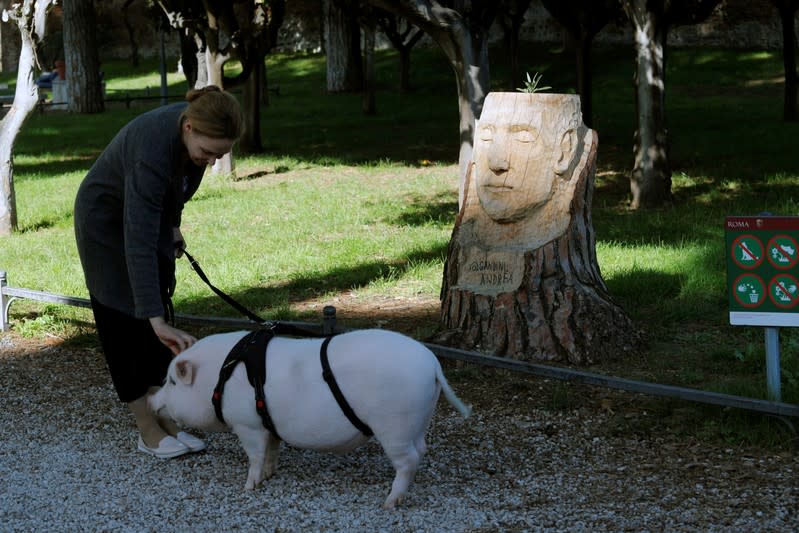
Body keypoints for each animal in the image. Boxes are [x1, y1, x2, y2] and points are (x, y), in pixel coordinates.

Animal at [148, 328, 468, 508]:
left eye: (172, 382)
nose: (151, 400)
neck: (219, 378)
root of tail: (432, 364)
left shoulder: (246, 424)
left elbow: (255, 455)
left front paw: (249, 487)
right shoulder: (266, 424)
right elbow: (272, 451)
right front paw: (270, 475)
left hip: (394, 425)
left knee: (408, 460)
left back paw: (389, 503)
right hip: (418, 421)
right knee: (421, 449)